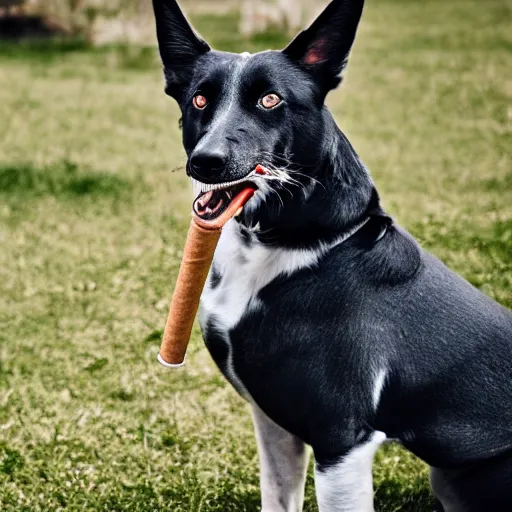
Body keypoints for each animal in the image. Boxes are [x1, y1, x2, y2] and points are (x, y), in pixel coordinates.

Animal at [152, 2, 512, 510]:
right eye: (199, 101)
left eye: (270, 100)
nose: (206, 162)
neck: (284, 246)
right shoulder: (275, 422)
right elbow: (278, 497)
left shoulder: (341, 440)